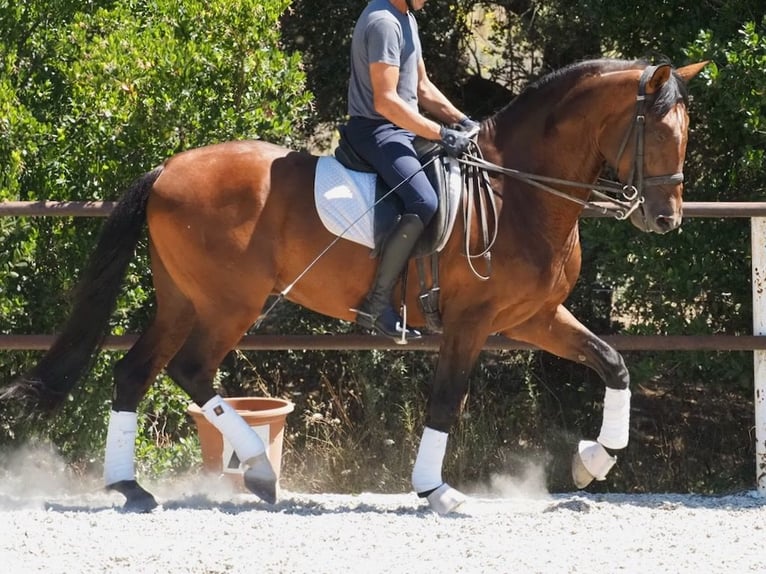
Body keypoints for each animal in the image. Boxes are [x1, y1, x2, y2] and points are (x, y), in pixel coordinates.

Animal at [3, 59, 708, 516]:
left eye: (685, 132)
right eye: (658, 131)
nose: (666, 218)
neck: (517, 192)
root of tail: (170, 168)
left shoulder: (535, 316)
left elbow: (613, 362)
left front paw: (596, 460)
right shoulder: (473, 322)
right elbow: (446, 400)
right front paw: (435, 491)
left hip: (182, 299)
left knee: (133, 373)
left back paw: (130, 489)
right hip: (231, 303)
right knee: (190, 369)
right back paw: (258, 469)